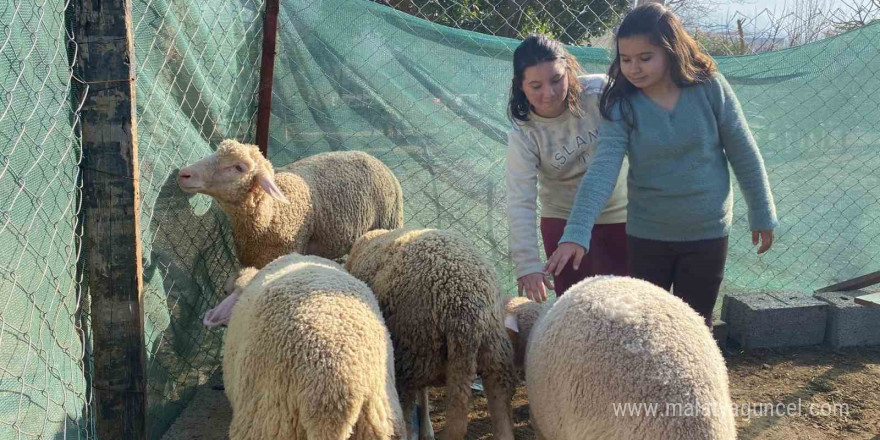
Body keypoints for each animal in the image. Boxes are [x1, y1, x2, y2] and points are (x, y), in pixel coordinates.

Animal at [344, 229, 520, 438]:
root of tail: (465, 308)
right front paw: (427, 429)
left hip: (411, 348)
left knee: (408, 413)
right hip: (493, 351)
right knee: (499, 404)